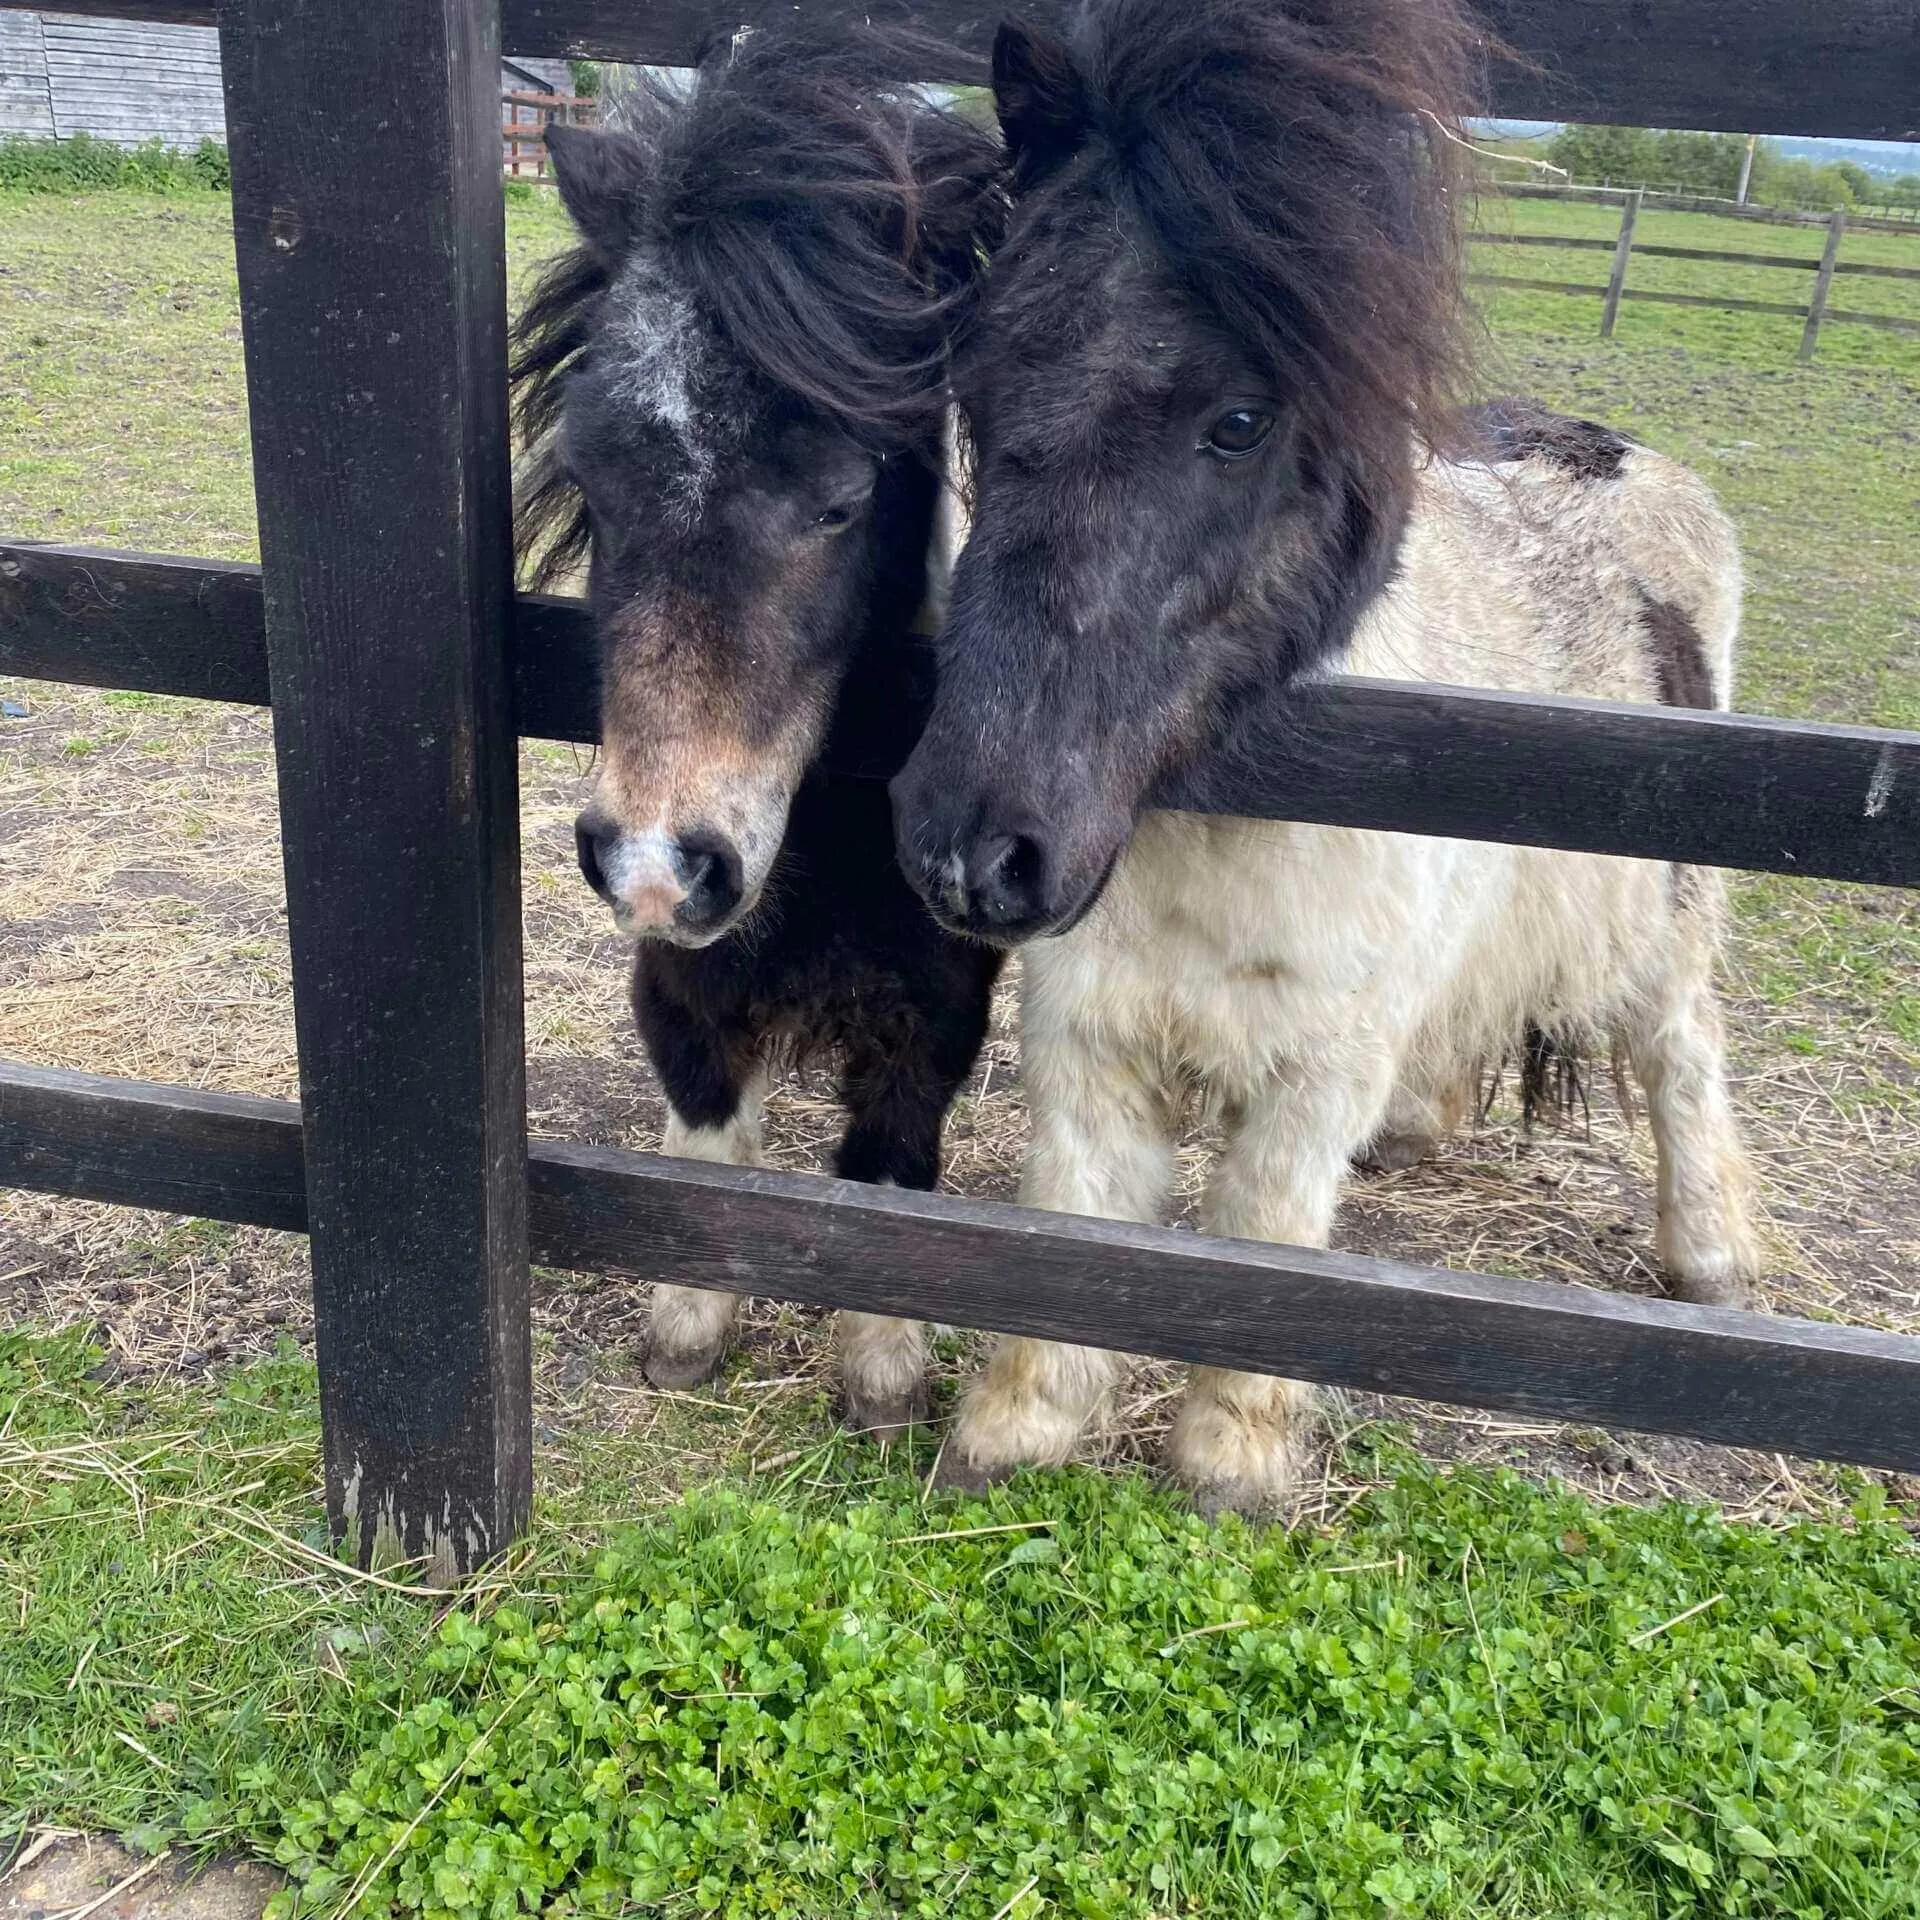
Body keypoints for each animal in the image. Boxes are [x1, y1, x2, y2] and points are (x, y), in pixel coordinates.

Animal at [512, 33, 1006, 1439]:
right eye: (591, 475)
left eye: (841, 501)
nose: (656, 864)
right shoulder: (680, 983)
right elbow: (704, 1137)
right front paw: (683, 1339)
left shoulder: (938, 1013)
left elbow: (892, 1168)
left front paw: (882, 1384)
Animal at [890, 0, 1761, 1514]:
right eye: (979, 392)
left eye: (1240, 422)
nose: (972, 852)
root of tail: (1629, 458)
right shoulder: (1089, 1040)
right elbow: (1072, 1222)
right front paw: (1018, 1429)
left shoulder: (1310, 1078)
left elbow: (1262, 1241)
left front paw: (1228, 1460)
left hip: (1657, 916)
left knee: (1679, 1049)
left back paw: (1705, 1255)